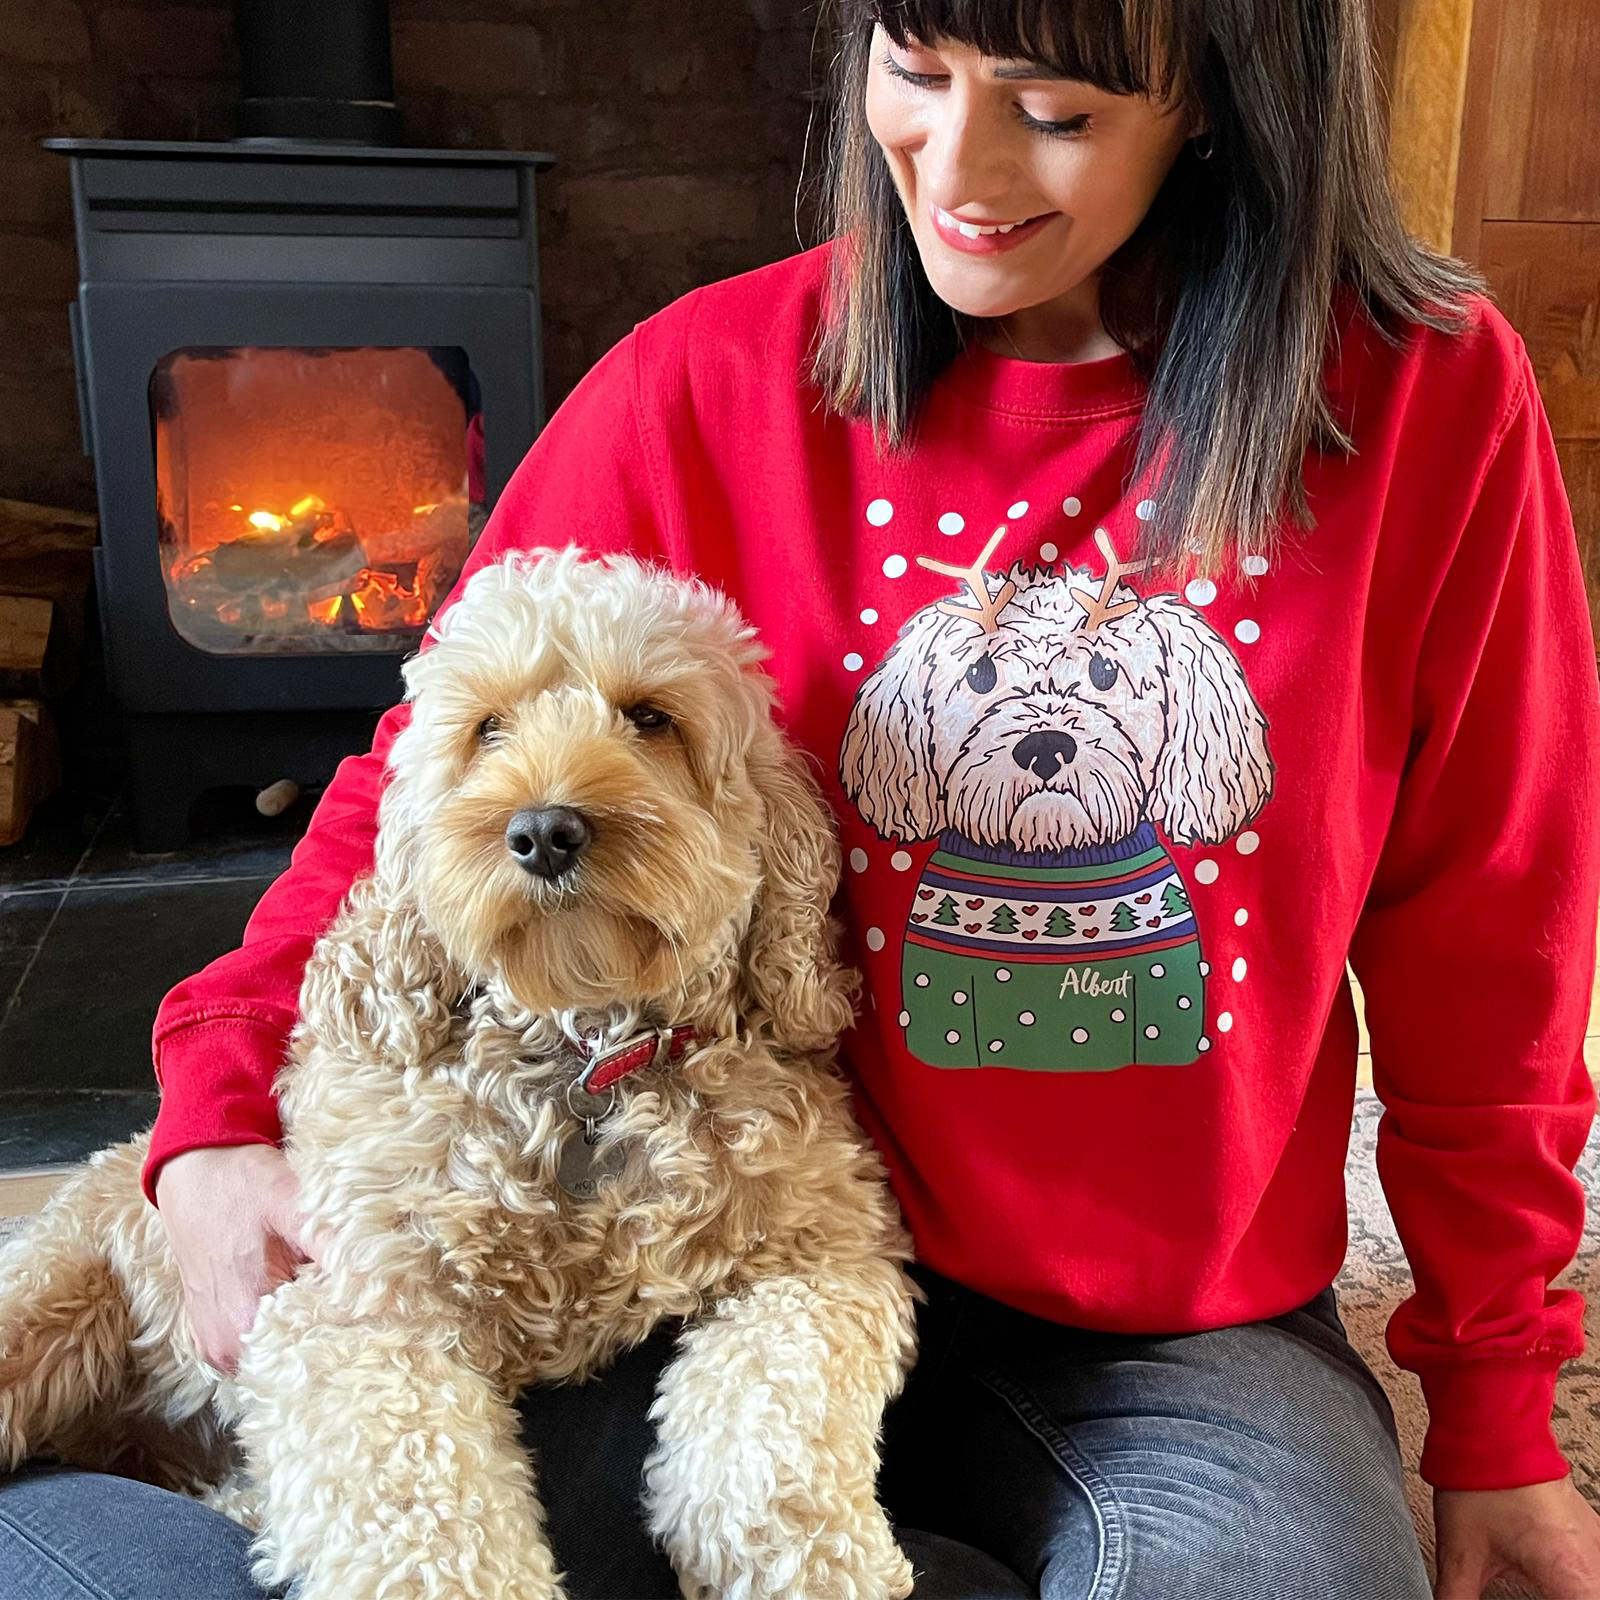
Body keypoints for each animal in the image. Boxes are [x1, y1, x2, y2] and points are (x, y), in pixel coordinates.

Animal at [0, 547, 921, 1600]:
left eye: (651, 717)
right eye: (487, 728)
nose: (544, 830)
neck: (587, 1060)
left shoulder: (819, 1258)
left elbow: (775, 1441)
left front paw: (826, 1565)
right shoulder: (358, 1313)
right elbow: (422, 1521)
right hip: (52, 1296)